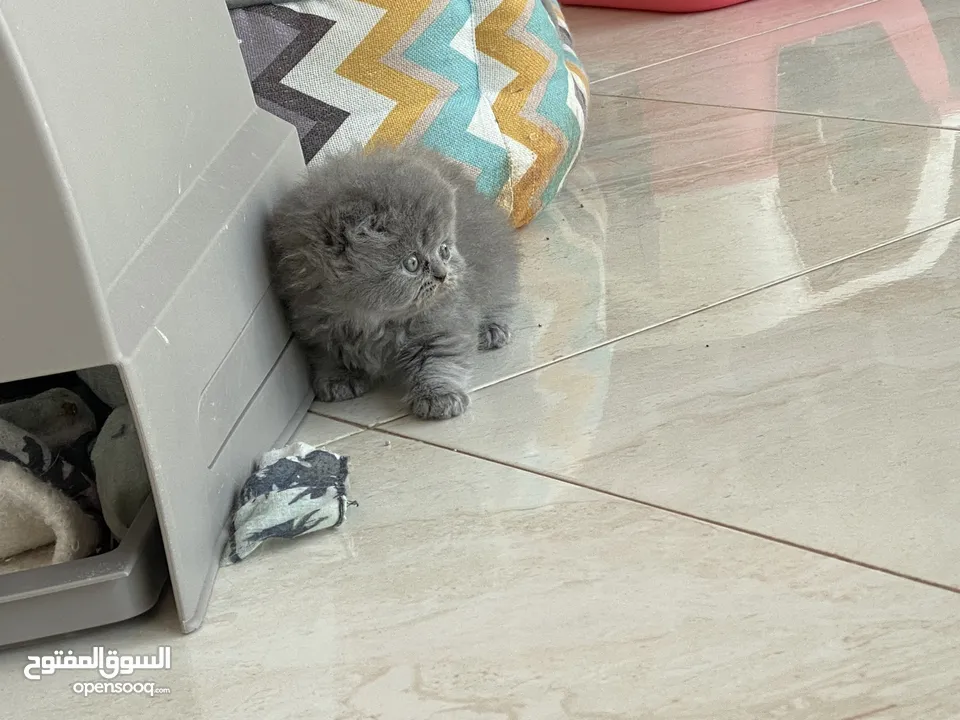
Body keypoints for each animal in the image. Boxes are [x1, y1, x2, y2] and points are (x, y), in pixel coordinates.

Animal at [264, 145, 516, 422]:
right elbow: (327, 355)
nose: (442, 275)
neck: (371, 321)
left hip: (496, 269)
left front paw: (439, 396)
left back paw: (491, 329)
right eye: (412, 263)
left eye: (444, 250)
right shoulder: (313, 322)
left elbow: (438, 359)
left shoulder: (443, 321)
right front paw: (339, 378)